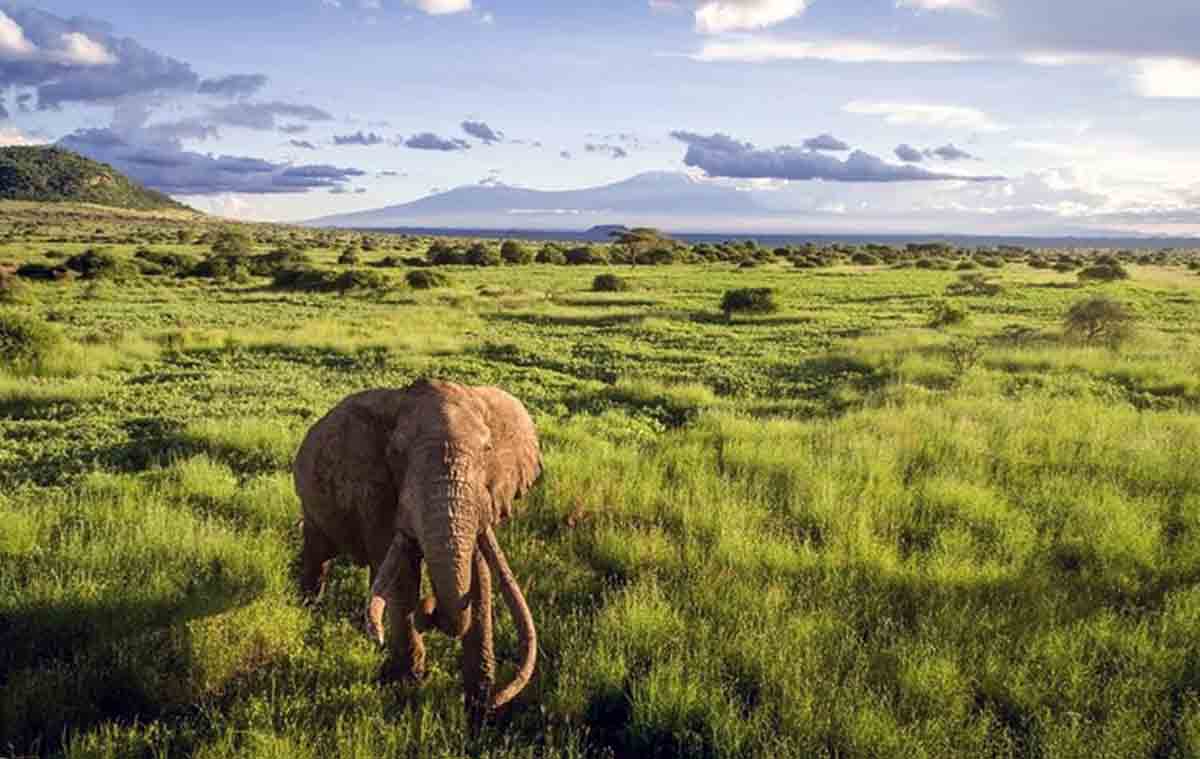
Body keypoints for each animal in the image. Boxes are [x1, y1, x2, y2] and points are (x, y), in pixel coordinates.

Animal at [295, 377, 544, 725]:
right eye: (396, 454)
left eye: (487, 450)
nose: (429, 608)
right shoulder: (377, 492)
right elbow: (403, 575)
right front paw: (407, 685)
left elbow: (479, 573)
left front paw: (479, 708)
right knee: (318, 554)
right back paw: (308, 609)